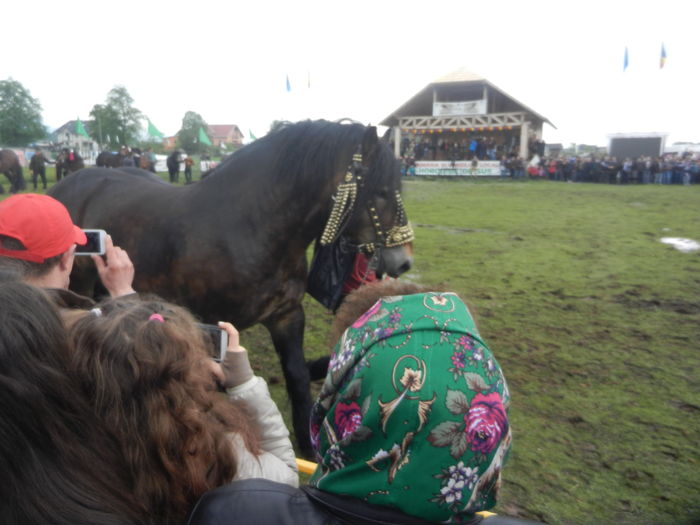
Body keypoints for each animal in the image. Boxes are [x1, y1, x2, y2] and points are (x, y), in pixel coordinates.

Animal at [49, 118, 416, 454]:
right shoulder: (212, 326)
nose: (403, 262)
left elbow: (297, 377)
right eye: (381, 191)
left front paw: (306, 447)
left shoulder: (286, 315)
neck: (251, 225)